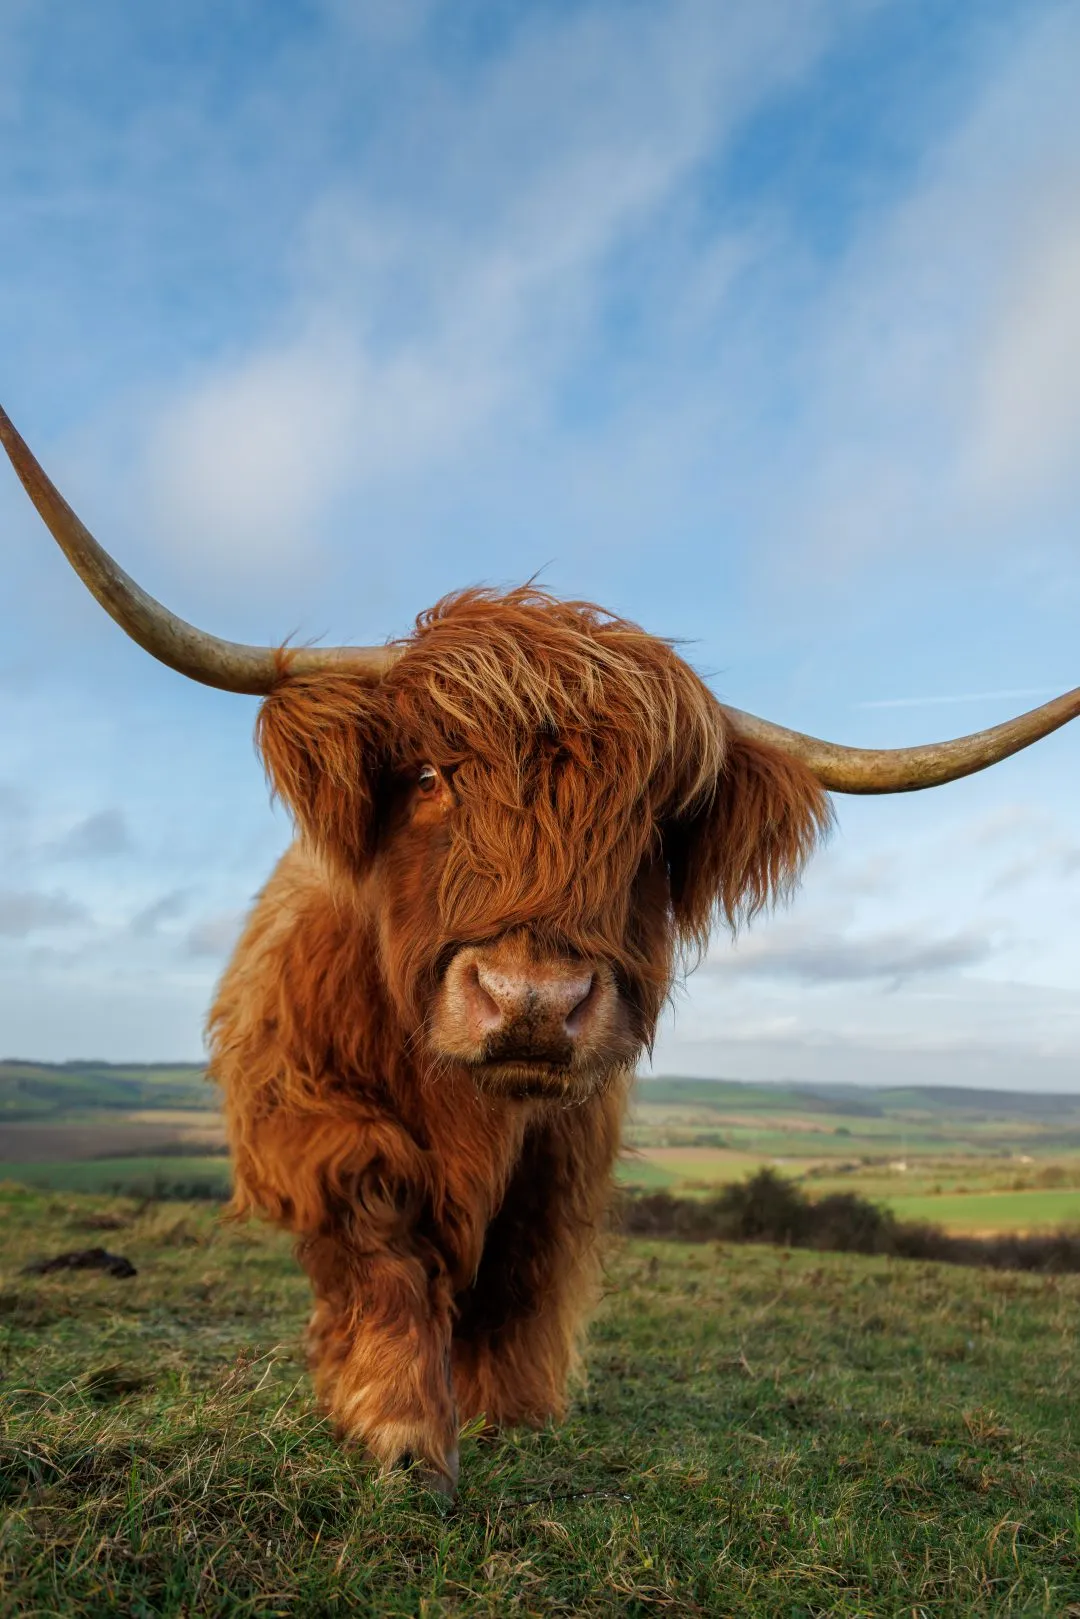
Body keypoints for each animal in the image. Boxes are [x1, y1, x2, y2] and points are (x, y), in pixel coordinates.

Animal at [3, 404, 1078, 1495]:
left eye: (654, 824)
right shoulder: (296, 1098)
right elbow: (376, 1216)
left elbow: (526, 1261)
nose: (530, 1000)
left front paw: (512, 1411)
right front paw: (397, 1420)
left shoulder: (567, 1144)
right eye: (428, 775)